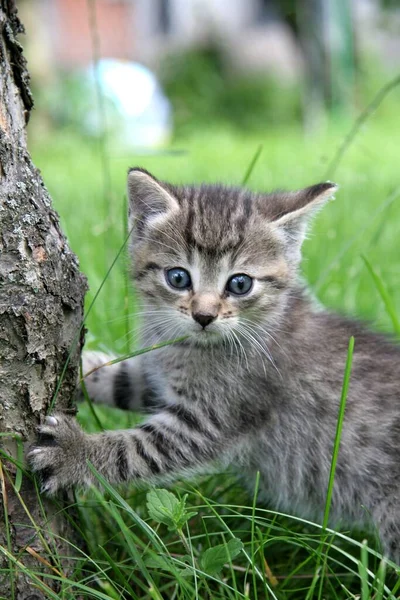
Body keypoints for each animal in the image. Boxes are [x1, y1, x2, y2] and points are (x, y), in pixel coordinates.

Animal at [29, 170, 400, 564]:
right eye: (178, 278)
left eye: (240, 283)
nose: (203, 316)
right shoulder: (161, 375)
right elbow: (125, 379)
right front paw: (84, 369)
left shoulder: (209, 419)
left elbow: (138, 450)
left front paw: (74, 452)